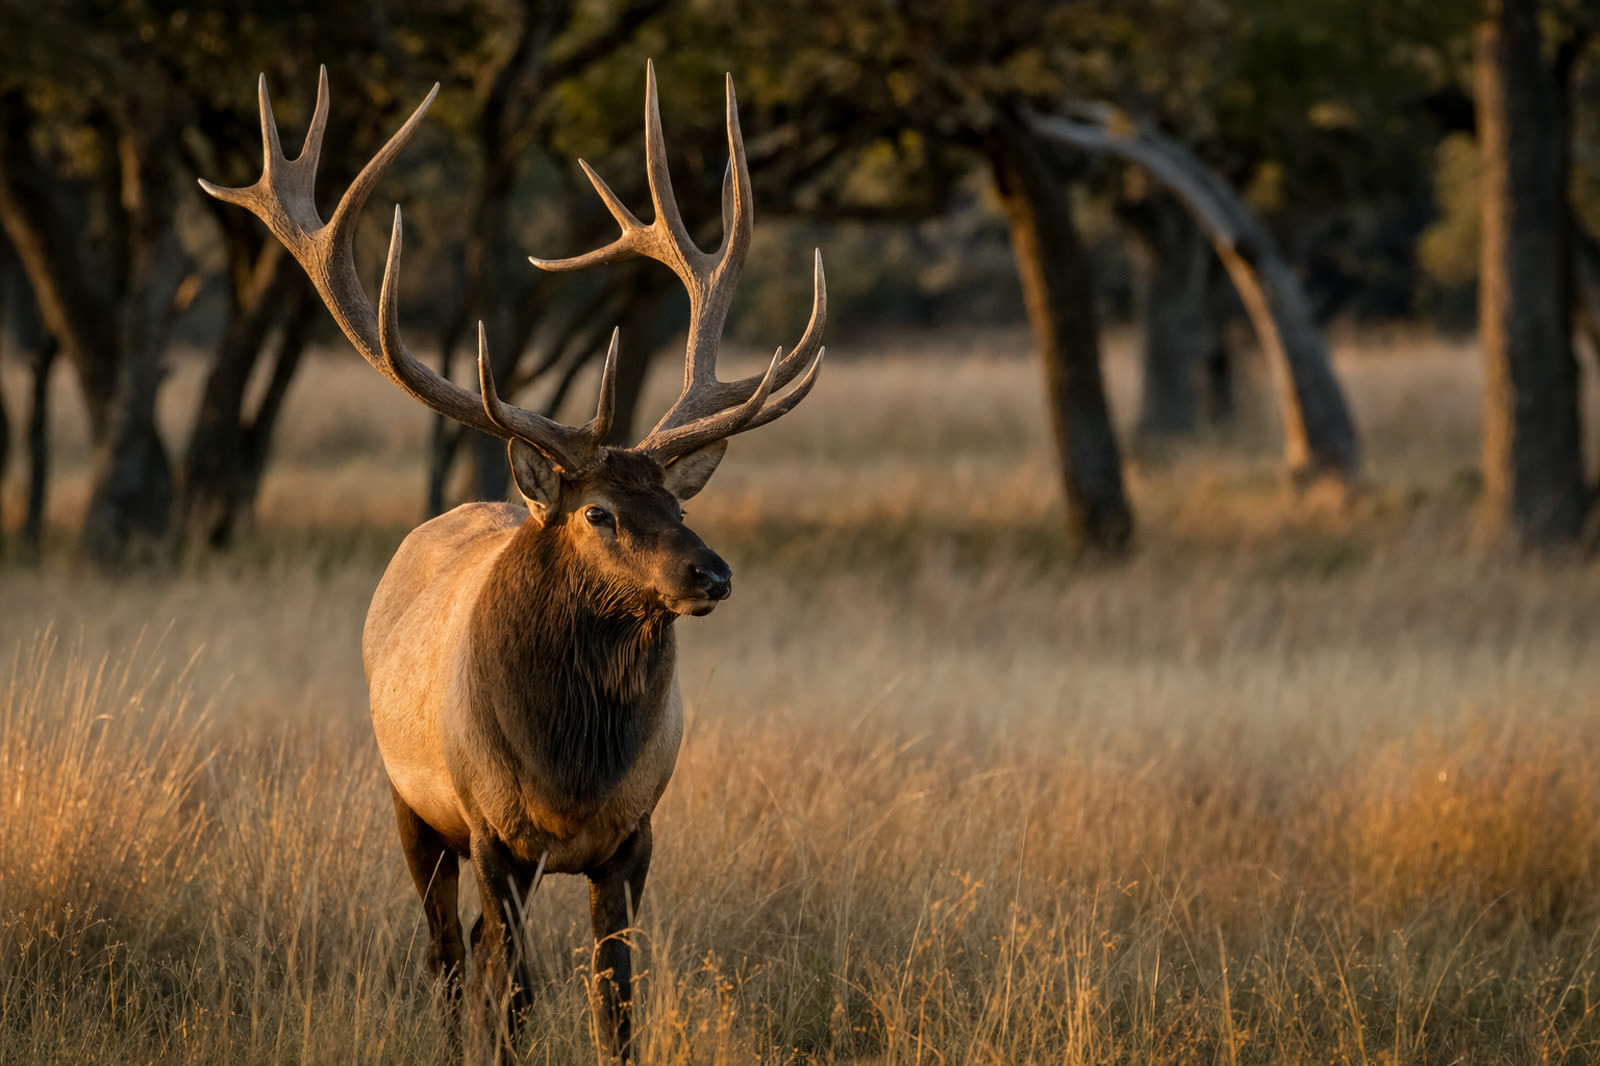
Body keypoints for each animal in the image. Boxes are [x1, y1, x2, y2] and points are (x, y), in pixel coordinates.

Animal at [199, 62, 825, 1057]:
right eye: (600, 512)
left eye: (679, 502)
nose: (713, 575)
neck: (572, 775)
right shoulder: (493, 831)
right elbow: (520, 997)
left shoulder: (635, 838)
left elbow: (615, 1006)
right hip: (411, 806)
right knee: (450, 960)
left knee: (479, 957)